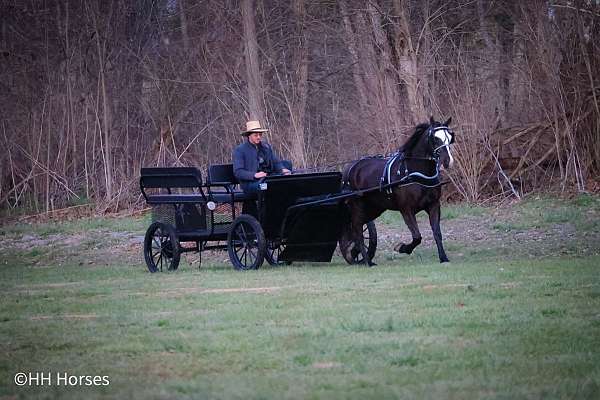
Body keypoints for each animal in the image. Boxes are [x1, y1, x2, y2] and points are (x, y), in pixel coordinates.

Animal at [342, 116, 454, 266]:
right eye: (435, 138)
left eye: (450, 138)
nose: (448, 161)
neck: (414, 172)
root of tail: (350, 167)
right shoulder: (406, 209)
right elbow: (417, 236)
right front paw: (402, 248)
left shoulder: (433, 205)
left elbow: (437, 233)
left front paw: (443, 258)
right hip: (357, 206)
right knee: (357, 229)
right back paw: (366, 261)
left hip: (374, 208)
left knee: (356, 228)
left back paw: (354, 253)